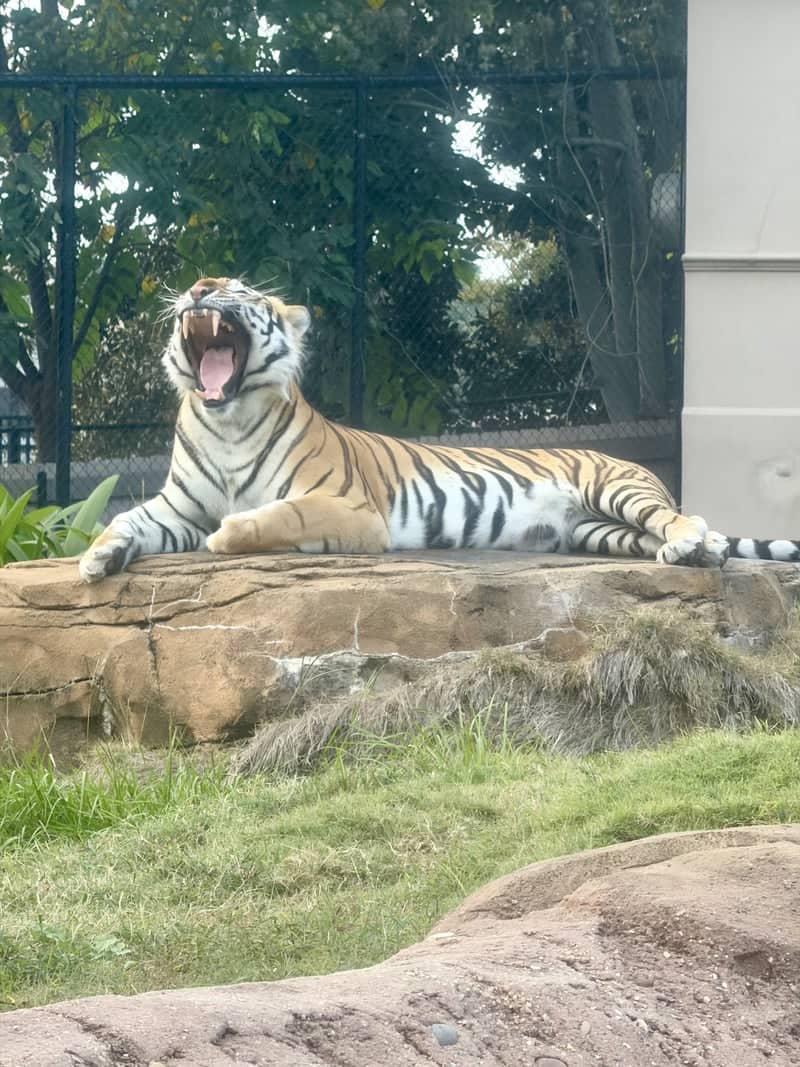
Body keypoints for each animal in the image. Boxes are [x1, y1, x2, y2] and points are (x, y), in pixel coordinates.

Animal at [78, 276, 795, 584]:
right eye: (202, 280)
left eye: (242, 289)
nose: (200, 287)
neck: (224, 419)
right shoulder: (176, 507)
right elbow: (126, 520)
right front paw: (97, 558)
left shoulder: (347, 507)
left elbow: (276, 517)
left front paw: (228, 536)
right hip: (598, 531)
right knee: (666, 536)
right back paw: (690, 554)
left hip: (616, 489)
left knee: (684, 517)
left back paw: (692, 544)